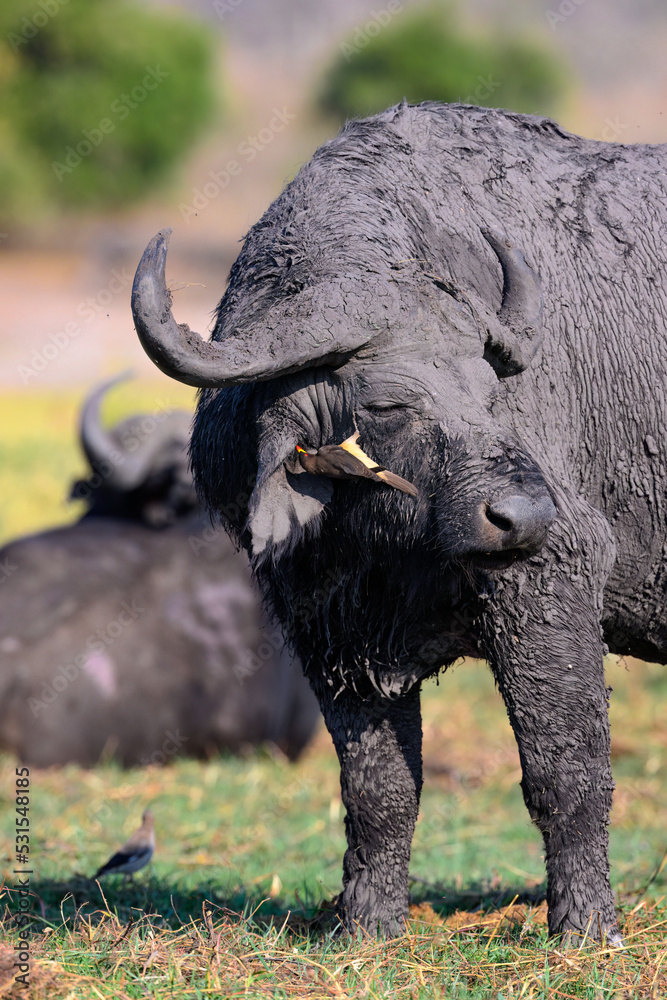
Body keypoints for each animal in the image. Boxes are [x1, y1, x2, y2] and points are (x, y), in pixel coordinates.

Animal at [131, 102, 667, 942]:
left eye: (489, 393)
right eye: (387, 402)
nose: (522, 513)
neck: (392, 548)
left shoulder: (549, 580)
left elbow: (566, 770)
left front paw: (584, 926)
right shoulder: (322, 625)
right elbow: (378, 787)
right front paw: (365, 924)